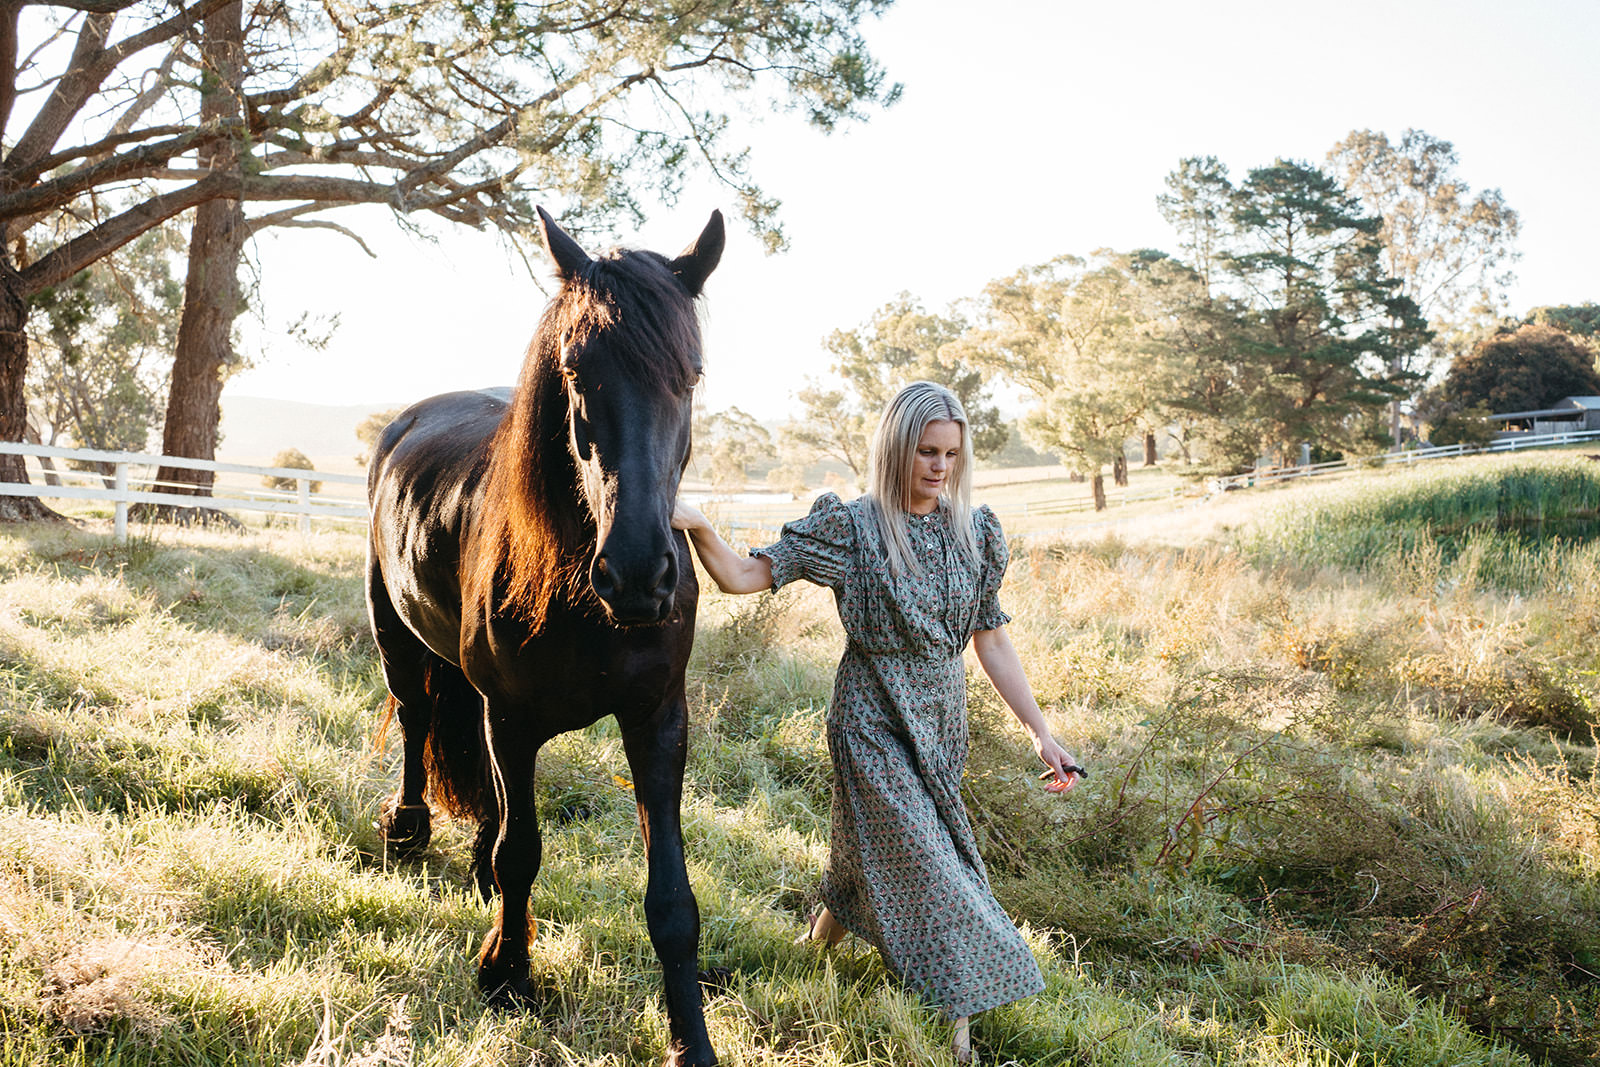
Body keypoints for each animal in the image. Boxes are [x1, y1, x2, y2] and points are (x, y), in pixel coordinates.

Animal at [366, 204, 723, 1062]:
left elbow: (672, 899)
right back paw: (409, 826)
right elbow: (523, 849)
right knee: (418, 716)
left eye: (690, 375)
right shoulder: (515, 718)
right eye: (574, 372)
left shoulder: (658, 720)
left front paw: (689, 1039)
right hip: (396, 637)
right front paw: (508, 973)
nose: (639, 574)